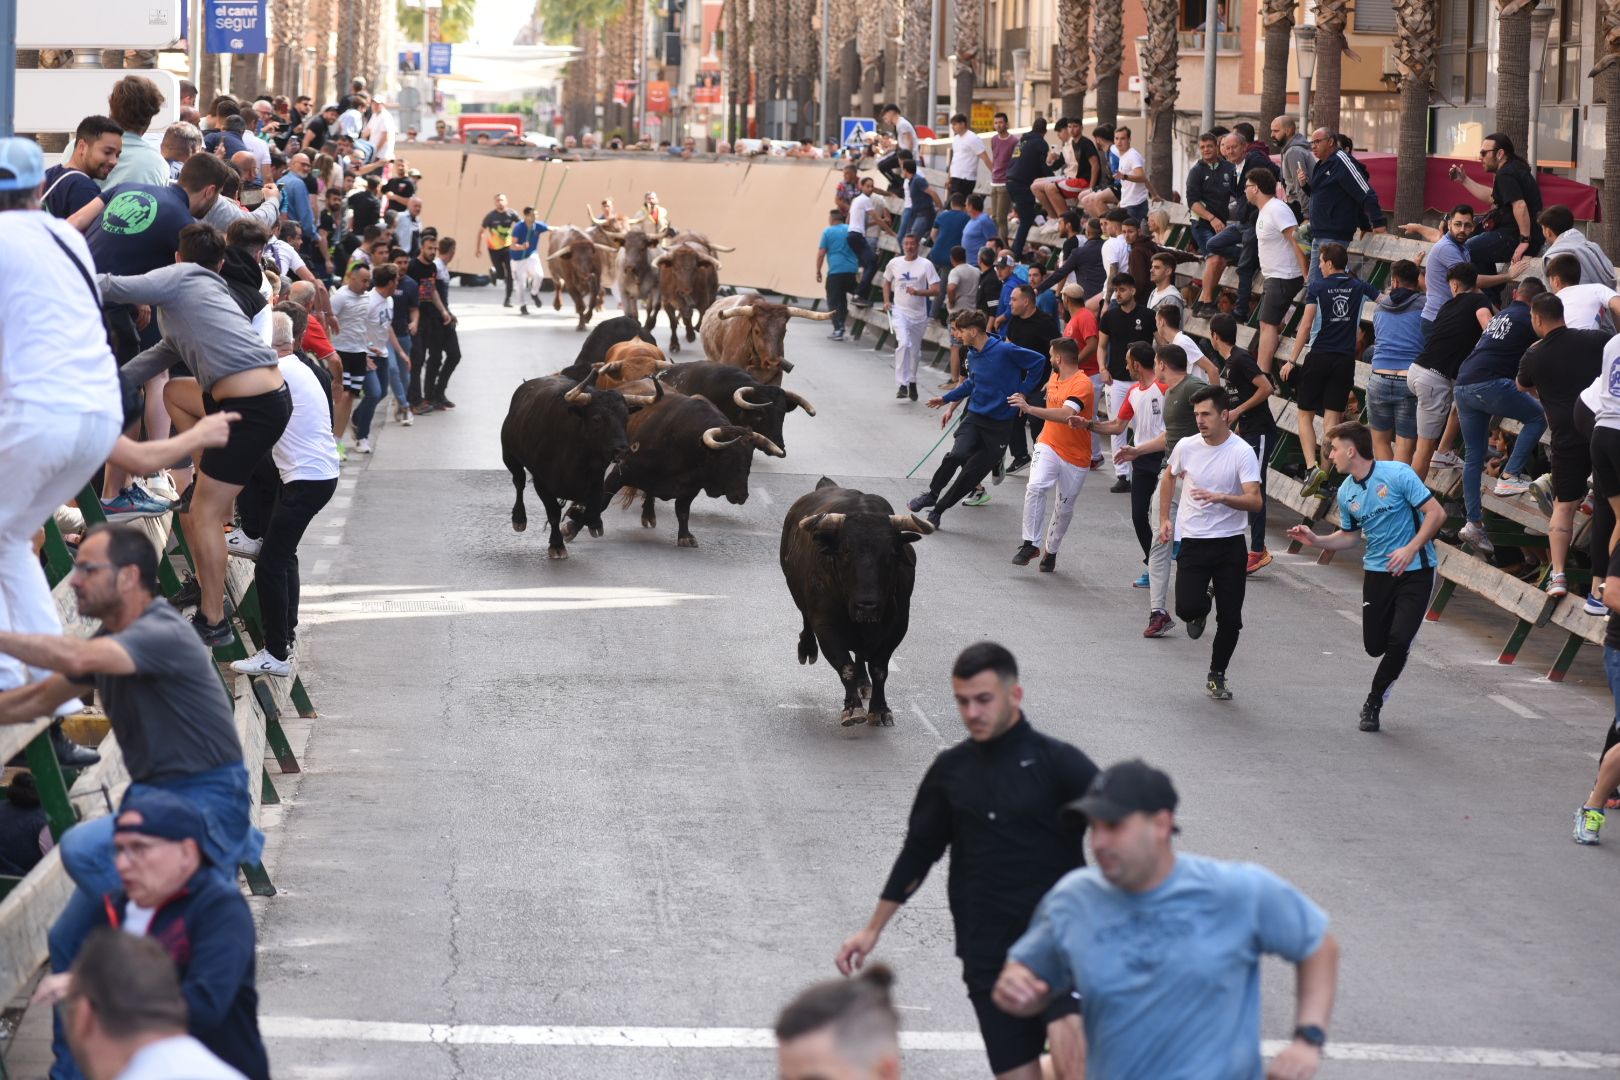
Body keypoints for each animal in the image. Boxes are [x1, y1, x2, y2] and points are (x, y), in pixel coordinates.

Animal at [777, 479, 933, 725]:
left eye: (891, 553)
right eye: (845, 551)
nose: (867, 605)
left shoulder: (898, 626)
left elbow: (879, 669)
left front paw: (879, 709)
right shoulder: (826, 625)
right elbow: (845, 666)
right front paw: (853, 708)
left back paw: (863, 683)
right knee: (805, 619)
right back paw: (807, 648)